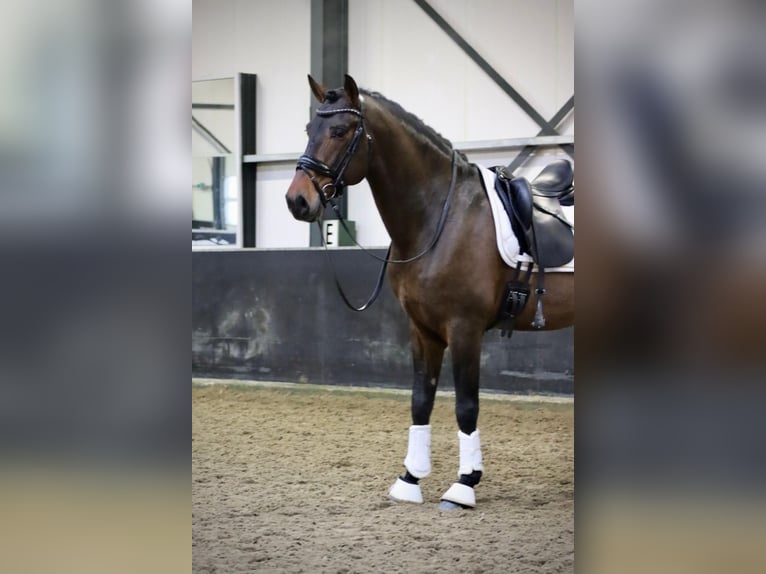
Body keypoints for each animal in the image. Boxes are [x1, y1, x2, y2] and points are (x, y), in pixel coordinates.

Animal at [286, 74, 574, 509]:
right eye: (308, 130)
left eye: (339, 131)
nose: (297, 200)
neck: (441, 215)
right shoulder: (422, 329)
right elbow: (421, 401)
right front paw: (410, 479)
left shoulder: (464, 328)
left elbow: (466, 406)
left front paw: (464, 485)